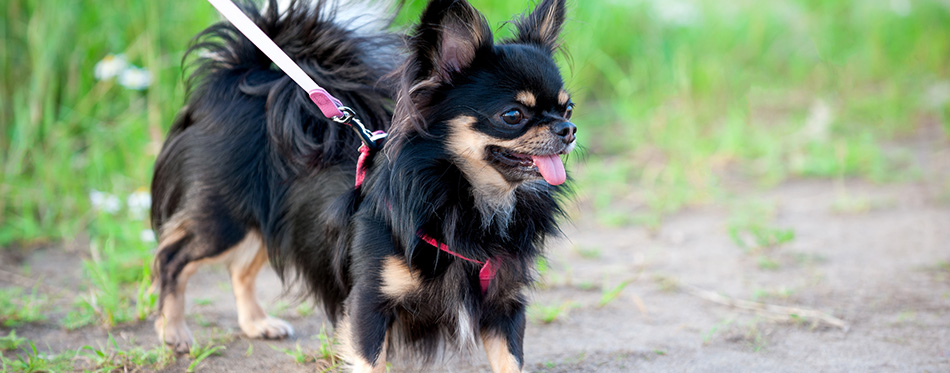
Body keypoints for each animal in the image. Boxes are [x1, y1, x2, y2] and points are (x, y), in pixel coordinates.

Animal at [152, 0, 576, 370]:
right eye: (512, 115)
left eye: (567, 107)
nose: (568, 129)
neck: (468, 199)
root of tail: (246, 77)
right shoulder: (369, 305)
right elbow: (371, 362)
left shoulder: (504, 307)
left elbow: (511, 363)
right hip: (224, 220)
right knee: (172, 258)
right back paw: (173, 332)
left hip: (274, 222)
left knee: (240, 268)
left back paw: (256, 323)